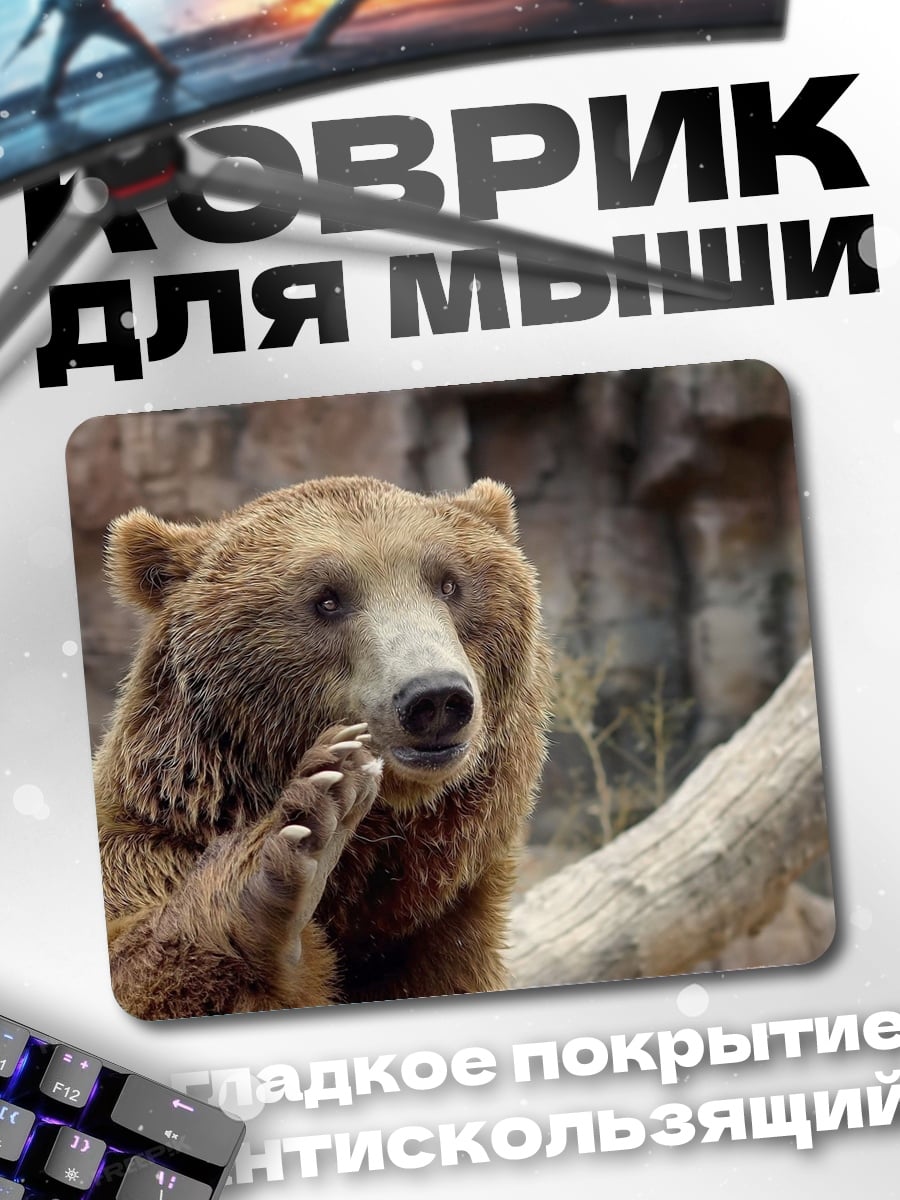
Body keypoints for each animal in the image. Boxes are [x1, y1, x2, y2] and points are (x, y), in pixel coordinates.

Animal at [93, 475, 552, 1019]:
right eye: (327, 600)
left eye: (449, 584)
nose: (435, 697)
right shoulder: (141, 848)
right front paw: (297, 839)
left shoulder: (451, 928)